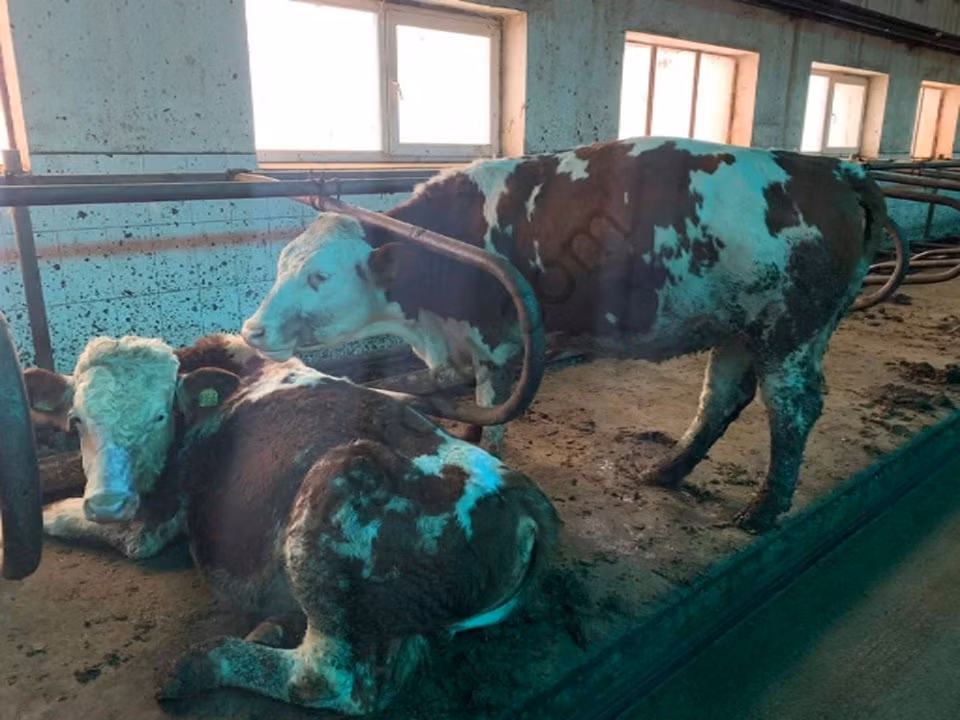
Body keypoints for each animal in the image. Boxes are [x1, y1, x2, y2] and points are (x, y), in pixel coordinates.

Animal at [24, 334, 559, 714]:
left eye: (160, 416)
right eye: (77, 420)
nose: (107, 502)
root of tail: (526, 500)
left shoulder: (159, 515)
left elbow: (118, 533)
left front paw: (50, 514)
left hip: (333, 488)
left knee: (327, 678)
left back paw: (205, 662)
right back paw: (272, 629)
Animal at [240, 136, 894, 532]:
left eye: (319, 276)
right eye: (280, 265)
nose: (252, 329)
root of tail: (834, 168)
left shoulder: (498, 341)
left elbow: (493, 410)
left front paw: (483, 453)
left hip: (790, 333)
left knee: (793, 410)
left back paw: (763, 509)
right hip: (739, 328)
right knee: (722, 398)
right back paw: (667, 470)